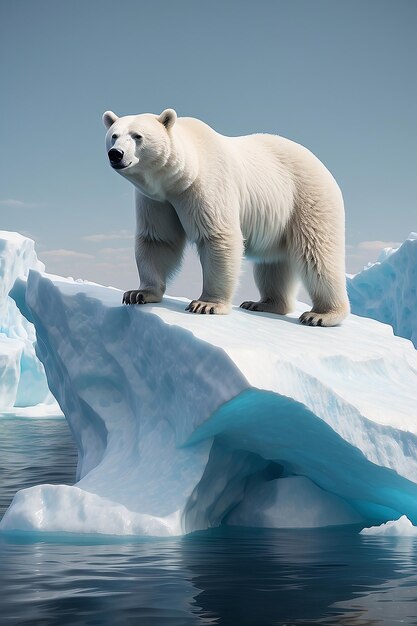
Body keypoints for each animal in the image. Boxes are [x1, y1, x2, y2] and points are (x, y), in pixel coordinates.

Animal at [102, 108, 350, 324]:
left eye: (137, 136)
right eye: (114, 135)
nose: (116, 154)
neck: (178, 177)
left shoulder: (204, 184)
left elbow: (217, 236)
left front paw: (206, 304)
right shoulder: (156, 200)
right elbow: (158, 239)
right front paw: (138, 293)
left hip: (307, 198)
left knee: (316, 254)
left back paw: (321, 315)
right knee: (273, 264)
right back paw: (264, 303)